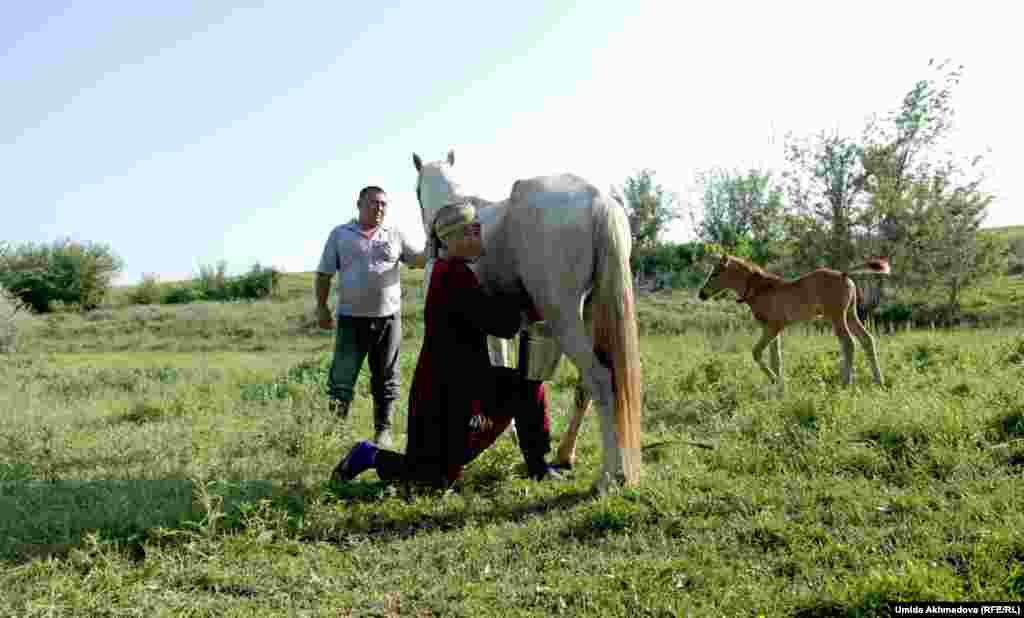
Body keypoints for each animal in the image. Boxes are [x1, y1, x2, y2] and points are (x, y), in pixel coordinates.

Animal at [409, 150, 638, 493]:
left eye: (415, 191)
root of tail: (599, 200)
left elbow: (497, 357)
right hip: (590, 314)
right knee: (591, 385)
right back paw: (573, 458)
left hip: (565, 317)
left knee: (599, 379)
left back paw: (605, 478)